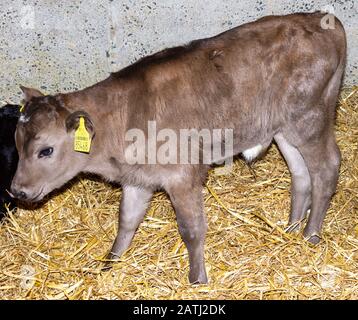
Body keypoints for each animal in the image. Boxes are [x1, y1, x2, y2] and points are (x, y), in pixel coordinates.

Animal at [11, 11, 346, 282]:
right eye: (17, 143)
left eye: (45, 150)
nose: (17, 191)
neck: (122, 117)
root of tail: (323, 20)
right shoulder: (138, 179)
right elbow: (126, 221)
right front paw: (109, 264)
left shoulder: (182, 173)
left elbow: (191, 229)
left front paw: (197, 279)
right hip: (284, 128)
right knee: (301, 174)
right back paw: (290, 230)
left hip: (310, 118)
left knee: (326, 168)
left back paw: (310, 235)